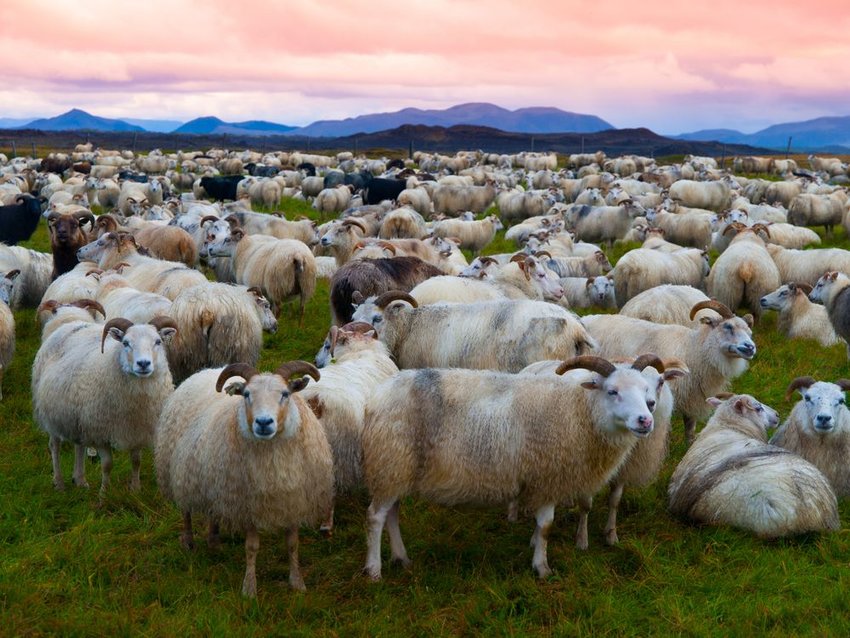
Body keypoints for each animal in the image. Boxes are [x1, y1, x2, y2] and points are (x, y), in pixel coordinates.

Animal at [154, 364, 332, 600]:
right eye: (247, 394)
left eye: (285, 394)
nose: (264, 423)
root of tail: (208, 370)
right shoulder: (248, 506)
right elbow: (252, 547)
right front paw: (249, 589)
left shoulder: (292, 501)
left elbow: (293, 544)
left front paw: (297, 583)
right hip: (181, 474)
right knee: (186, 511)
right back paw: (189, 541)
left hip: (215, 480)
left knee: (213, 511)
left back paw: (214, 541)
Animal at [362, 356, 660, 584]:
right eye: (612, 391)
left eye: (646, 392)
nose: (645, 420)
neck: (579, 411)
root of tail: (378, 395)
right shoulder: (547, 475)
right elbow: (546, 526)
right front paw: (542, 567)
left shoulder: (541, 480)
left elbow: (540, 526)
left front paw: (534, 546)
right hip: (391, 462)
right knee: (376, 517)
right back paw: (374, 571)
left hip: (397, 469)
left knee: (392, 514)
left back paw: (402, 558)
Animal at [584, 302, 756, 444]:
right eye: (728, 326)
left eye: (749, 331)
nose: (750, 347)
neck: (693, 350)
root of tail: (588, 317)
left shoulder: (691, 397)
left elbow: (690, 427)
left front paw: (689, 445)